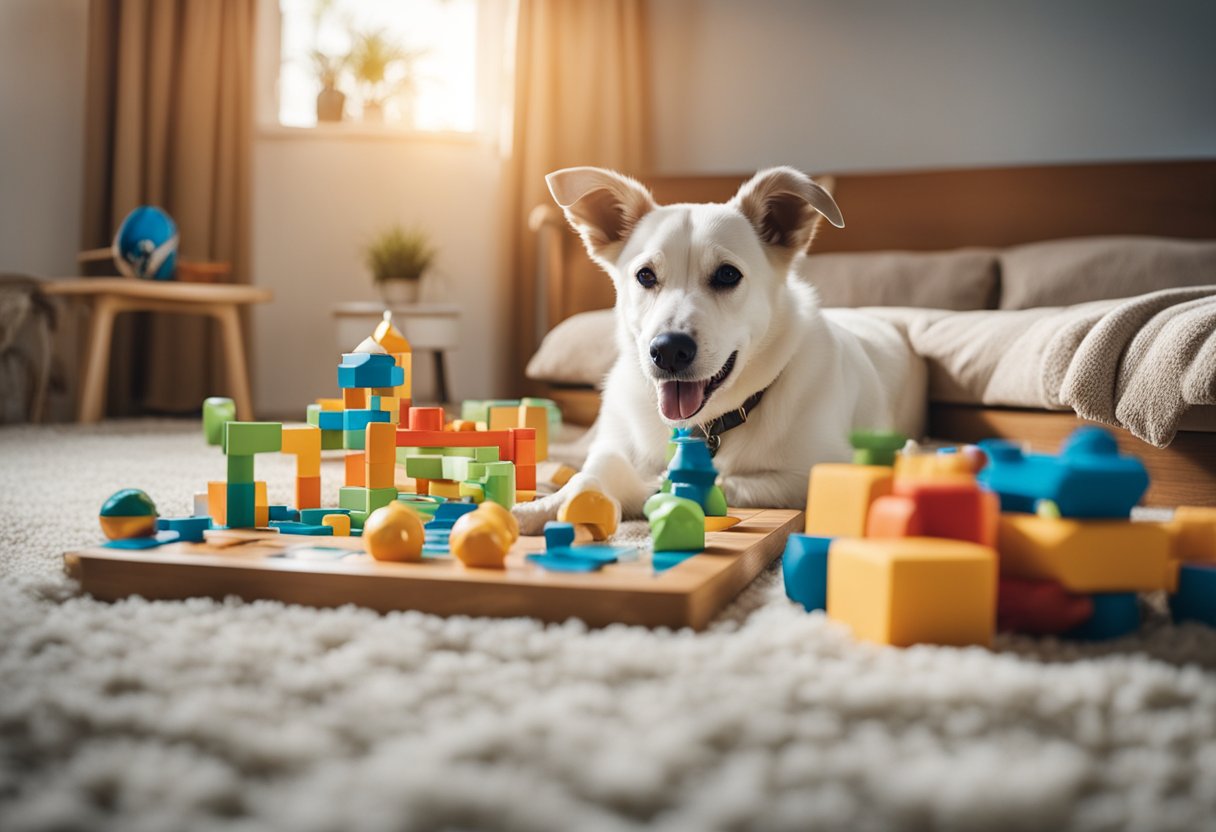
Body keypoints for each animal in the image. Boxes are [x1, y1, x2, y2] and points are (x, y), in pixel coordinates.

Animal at [513, 165, 919, 535]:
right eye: (645, 275)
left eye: (727, 274)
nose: (668, 350)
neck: (703, 427)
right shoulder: (612, 449)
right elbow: (587, 476)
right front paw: (543, 506)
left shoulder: (819, 470)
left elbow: (730, 482)